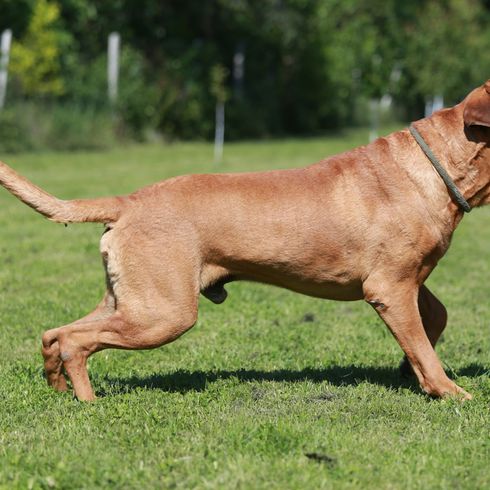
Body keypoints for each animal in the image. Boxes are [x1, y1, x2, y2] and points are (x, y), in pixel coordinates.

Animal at [0, 81, 488, 402]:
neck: (438, 169)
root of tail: (129, 201)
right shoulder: (390, 286)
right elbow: (423, 343)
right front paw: (448, 391)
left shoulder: (410, 282)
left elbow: (433, 322)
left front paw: (411, 370)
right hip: (164, 314)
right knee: (76, 340)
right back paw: (86, 399)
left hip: (133, 300)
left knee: (55, 333)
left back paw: (56, 384)